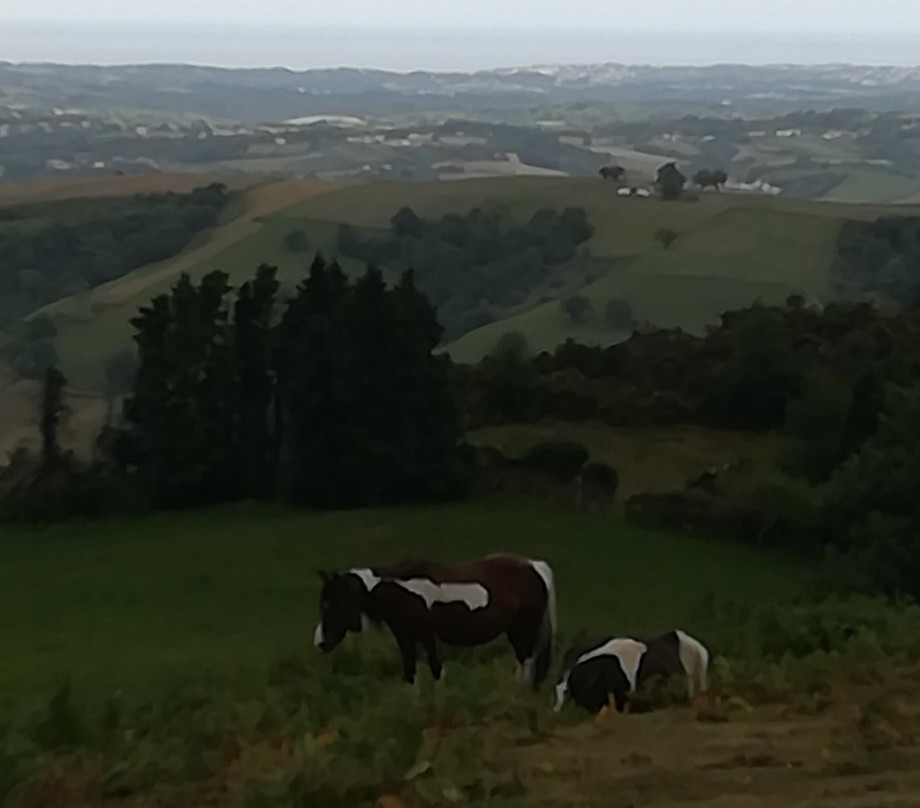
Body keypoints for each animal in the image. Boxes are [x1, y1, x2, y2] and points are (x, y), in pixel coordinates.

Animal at [312, 556, 556, 688]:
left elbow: (437, 672)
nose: (320, 643)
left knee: (526, 662)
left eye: (329, 604)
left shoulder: (428, 637)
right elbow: (411, 674)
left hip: (524, 629)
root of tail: (533, 566)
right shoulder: (405, 639)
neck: (401, 591)